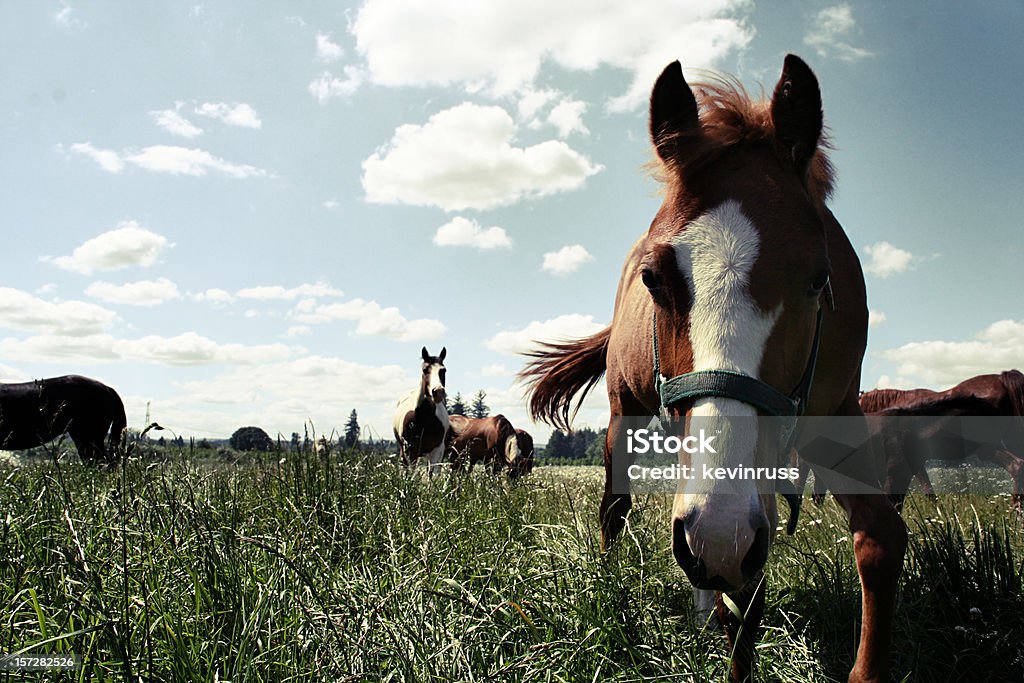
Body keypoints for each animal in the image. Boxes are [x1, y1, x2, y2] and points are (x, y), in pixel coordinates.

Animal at [520, 54, 905, 683]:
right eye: (654, 278)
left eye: (819, 279)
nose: (719, 534)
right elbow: (735, 583)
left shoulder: (833, 420)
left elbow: (879, 538)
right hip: (629, 416)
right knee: (618, 509)